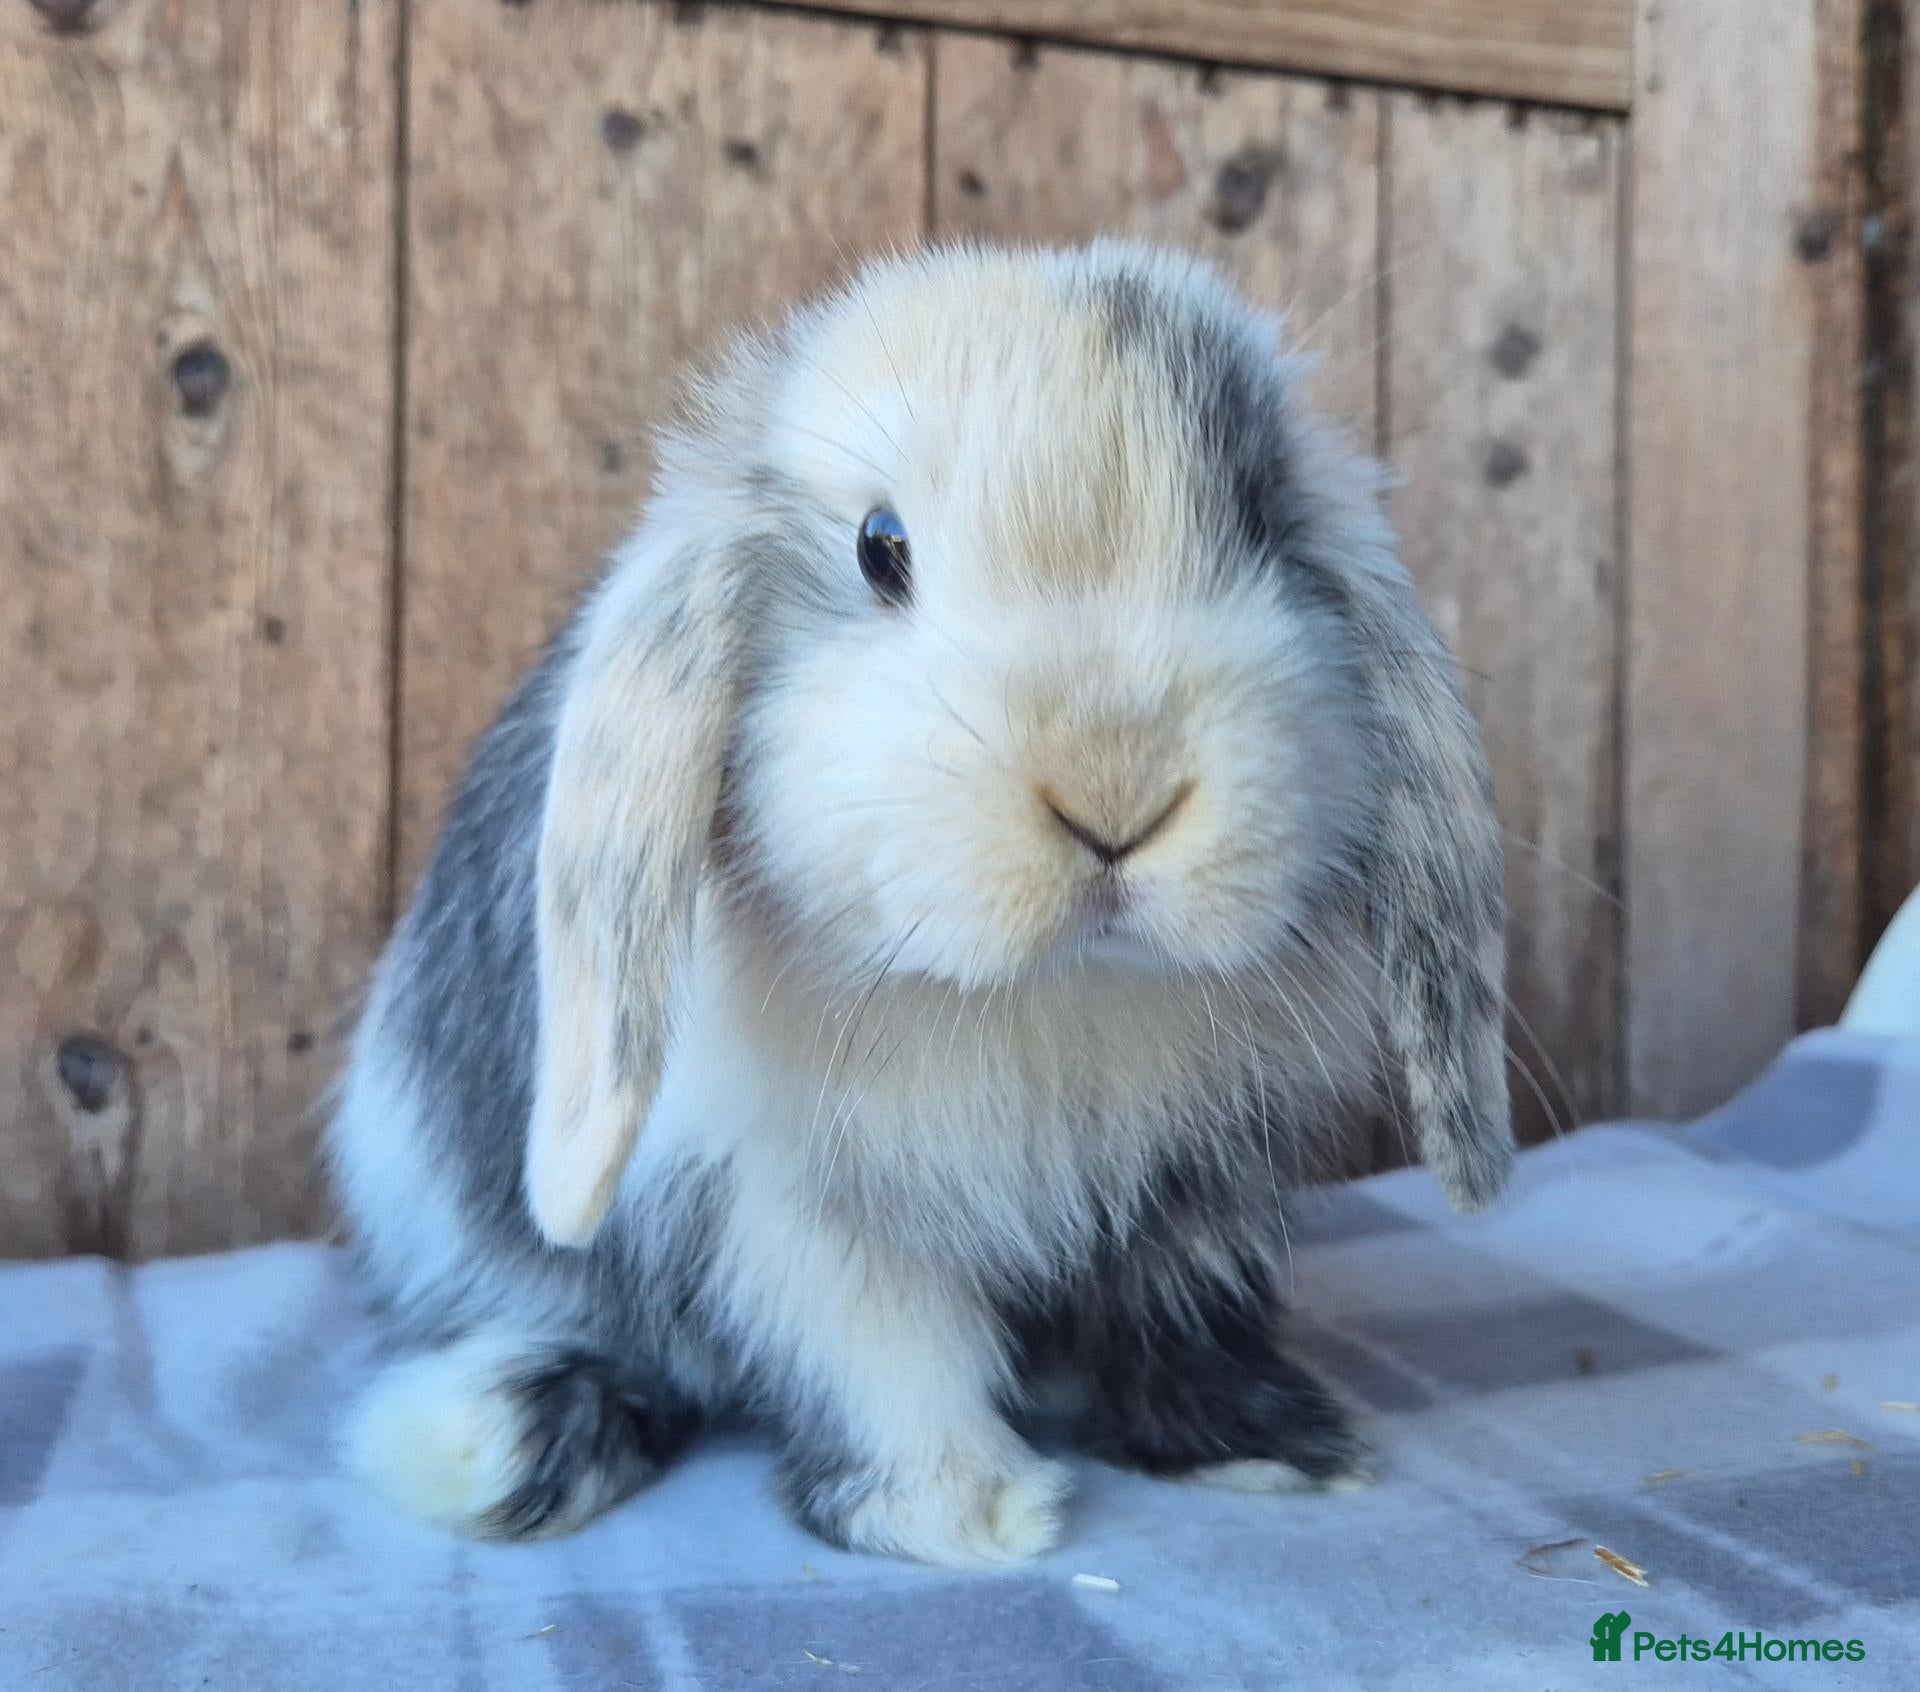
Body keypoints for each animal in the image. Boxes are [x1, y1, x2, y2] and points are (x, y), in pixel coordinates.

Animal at [329, 240, 1511, 1566]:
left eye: (1261, 519)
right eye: (879, 549)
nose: (1115, 791)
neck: (1053, 995)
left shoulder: (1197, 1186)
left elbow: (1181, 1312)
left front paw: (1274, 1450)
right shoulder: (788, 1211)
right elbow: (880, 1350)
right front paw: (970, 1513)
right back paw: (493, 1436)